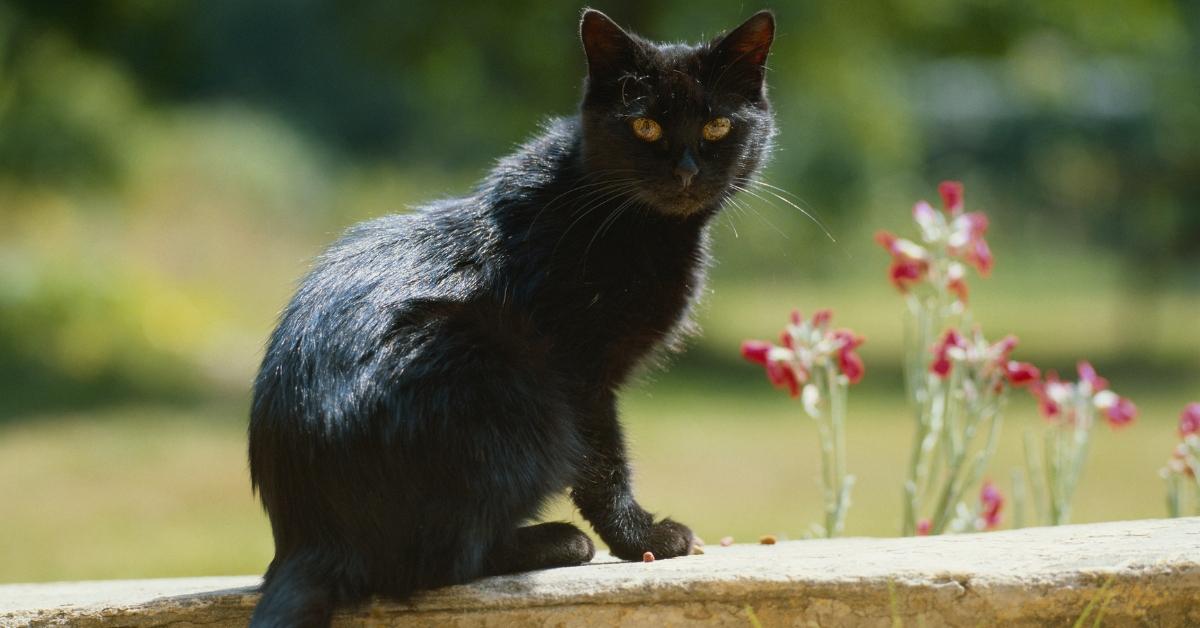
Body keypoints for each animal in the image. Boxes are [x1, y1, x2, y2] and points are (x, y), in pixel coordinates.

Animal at [250, 8, 777, 624]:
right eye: (645, 126)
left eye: (717, 127)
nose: (687, 172)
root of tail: (308, 540)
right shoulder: (576, 371)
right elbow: (602, 463)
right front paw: (642, 540)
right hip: (507, 382)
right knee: (438, 561)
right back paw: (556, 543)